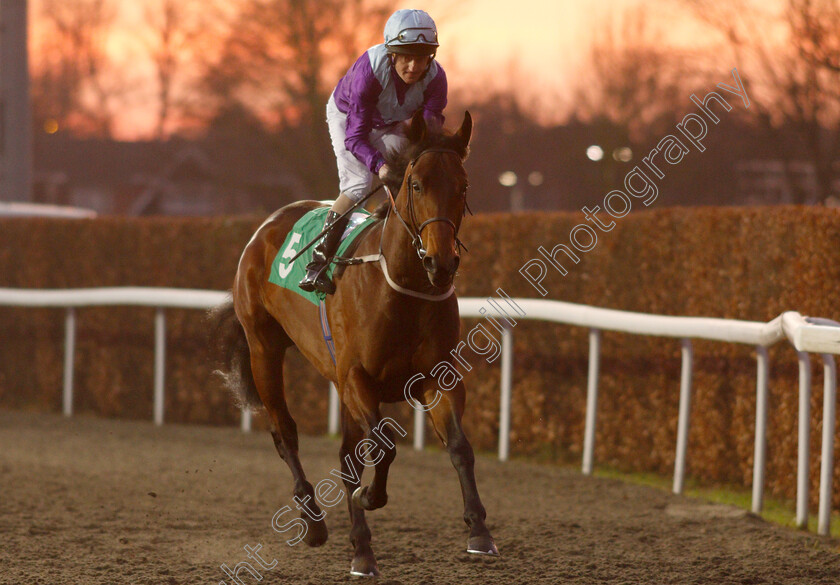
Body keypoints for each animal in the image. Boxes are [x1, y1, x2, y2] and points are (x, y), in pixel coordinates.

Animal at [212, 109, 498, 576]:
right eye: (416, 185)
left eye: (463, 186)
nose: (441, 262)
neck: (400, 287)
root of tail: (267, 226)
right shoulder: (358, 379)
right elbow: (384, 447)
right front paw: (370, 497)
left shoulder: (437, 378)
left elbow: (459, 446)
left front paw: (479, 532)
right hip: (264, 349)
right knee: (285, 433)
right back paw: (314, 522)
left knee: (346, 456)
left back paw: (361, 550)